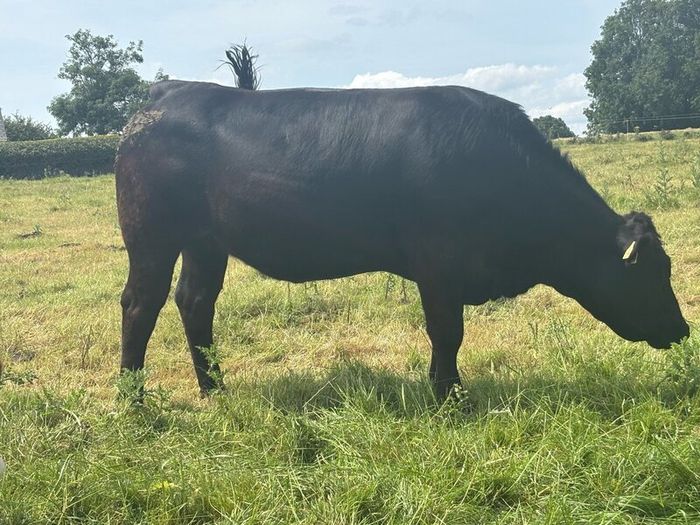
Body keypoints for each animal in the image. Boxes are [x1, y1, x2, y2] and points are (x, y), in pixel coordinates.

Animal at [115, 80, 689, 399]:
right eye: (651, 273)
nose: (683, 330)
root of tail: (168, 93)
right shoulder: (439, 265)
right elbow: (447, 332)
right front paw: (448, 396)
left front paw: (444, 388)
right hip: (151, 236)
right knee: (140, 304)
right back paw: (134, 400)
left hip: (205, 242)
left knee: (195, 301)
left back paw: (216, 388)